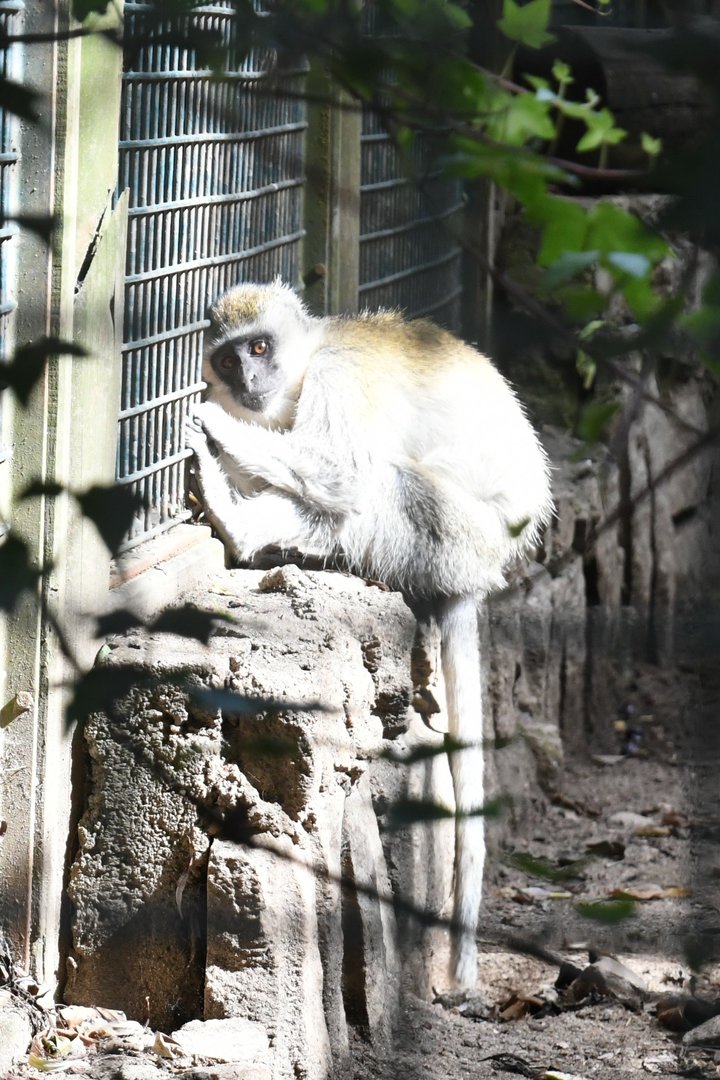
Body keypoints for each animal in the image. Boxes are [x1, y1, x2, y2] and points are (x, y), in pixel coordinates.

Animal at [185, 279, 553, 989]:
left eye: (259, 348)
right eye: (229, 358)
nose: (246, 380)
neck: (303, 369)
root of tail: (483, 572)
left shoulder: (340, 377)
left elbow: (343, 471)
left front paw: (218, 427)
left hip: (452, 535)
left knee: (375, 480)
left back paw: (238, 522)